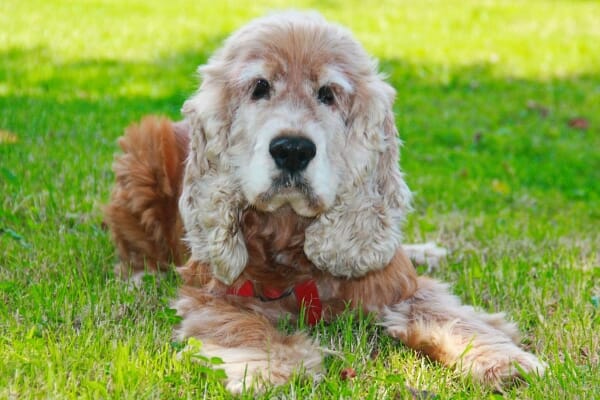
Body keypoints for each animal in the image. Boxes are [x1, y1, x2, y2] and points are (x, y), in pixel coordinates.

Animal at [103, 10, 544, 392]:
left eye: (327, 94)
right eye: (260, 87)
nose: (293, 150)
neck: (289, 235)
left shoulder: (399, 288)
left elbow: (449, 316)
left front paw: (503, 360)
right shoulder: (211, 292)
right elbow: (239, 326)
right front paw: (272, 366)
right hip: (143, 147)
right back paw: (141, 276)